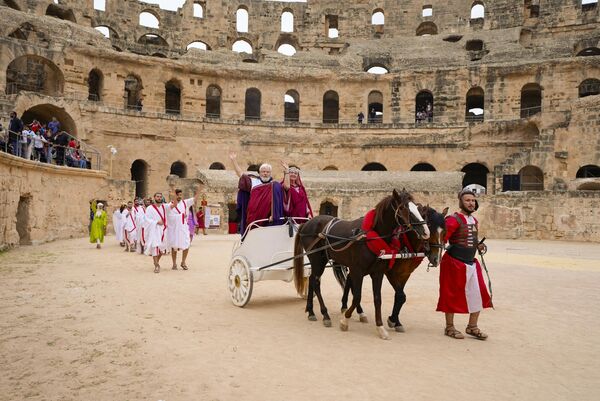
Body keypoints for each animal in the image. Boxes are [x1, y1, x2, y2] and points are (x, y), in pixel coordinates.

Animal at [292, 188, 428, 338]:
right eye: (404, 208)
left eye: (417, 207)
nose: (425, 231)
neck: (370, 236)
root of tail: (307, 223)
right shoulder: (357, 271)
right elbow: (357, 296)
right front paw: (345, 320)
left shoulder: (378, 273)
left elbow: (377, 298)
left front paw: (380, 327)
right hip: (317, 260)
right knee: (315, 282)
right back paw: (325, 314)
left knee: (311, 280)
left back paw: (310, 311)